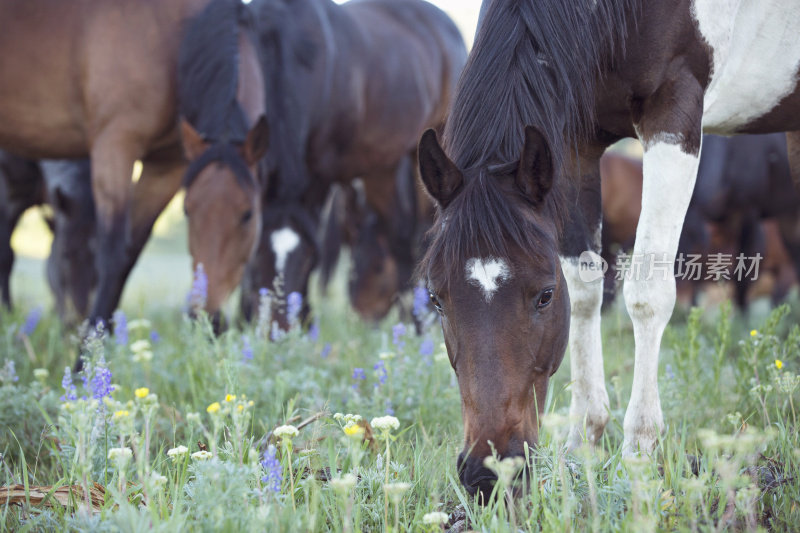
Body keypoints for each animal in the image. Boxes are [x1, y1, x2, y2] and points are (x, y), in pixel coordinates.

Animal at [238, 0, 466, 328]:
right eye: (256, 259)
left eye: (302, 259)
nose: (276, 327)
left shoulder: (318, 172)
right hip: (382, 169)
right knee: (397, 237)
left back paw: (418, 320)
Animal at [416, 0, 800, 496]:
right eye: (436, 299)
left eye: (544, 296)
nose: (488, 472)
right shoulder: (575, 141)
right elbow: (584, 291)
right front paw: (582, 443)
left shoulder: (673, 113)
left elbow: (647, 294)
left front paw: (639, 449)